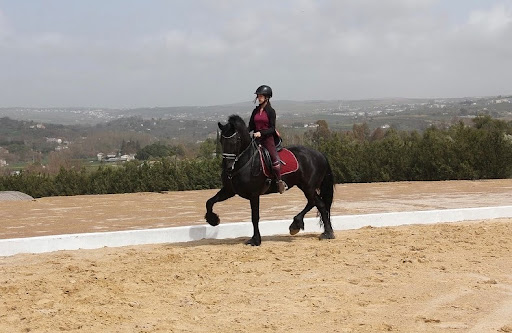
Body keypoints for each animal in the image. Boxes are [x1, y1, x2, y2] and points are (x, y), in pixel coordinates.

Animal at [205, 114, 336, 244]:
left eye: (236, 140)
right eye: (221, 140)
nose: (227, 167)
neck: (244, 162)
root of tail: (320, 154)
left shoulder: (254, 194)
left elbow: (255, 217)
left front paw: (255, 240)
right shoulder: (229, 190)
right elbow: (209, 202)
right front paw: (213, 220)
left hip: (308, 186)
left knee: (313, 202)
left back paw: (297, 225)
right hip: (305, 186)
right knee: (320, 204)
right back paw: (327, 233)